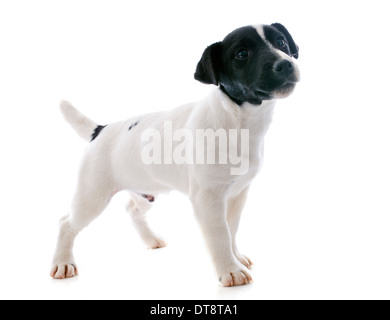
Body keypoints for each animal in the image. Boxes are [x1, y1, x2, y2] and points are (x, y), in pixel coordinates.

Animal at [50, 23, 300, 286]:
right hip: (91, 197)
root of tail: (99, 130)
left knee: (132, 210)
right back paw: (63, 263)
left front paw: (236, 257)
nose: (285, 64)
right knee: (66, 223)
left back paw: (151, 239)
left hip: (144, 192)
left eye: (281, 42)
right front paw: (230, 270)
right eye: (241, 54)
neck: (240, 121)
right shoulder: (208, 199)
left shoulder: (237, 195)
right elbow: (220, 234)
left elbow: (232, 229)